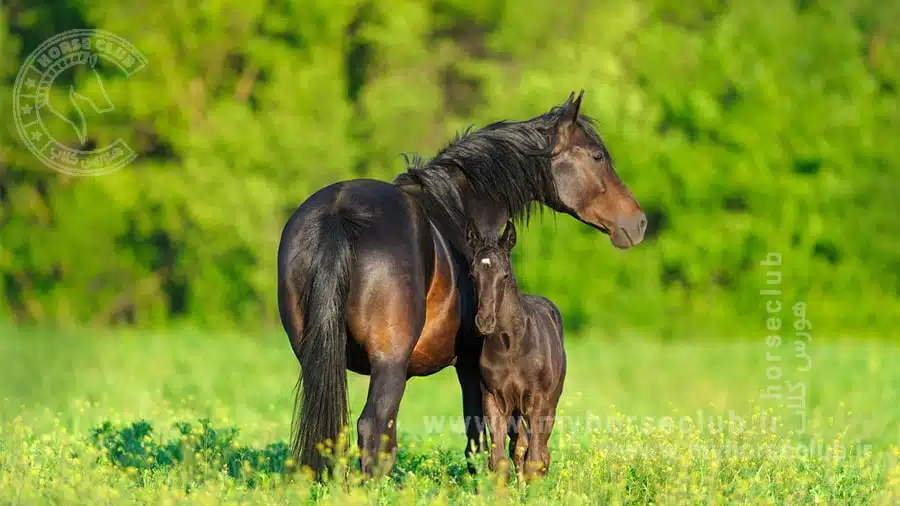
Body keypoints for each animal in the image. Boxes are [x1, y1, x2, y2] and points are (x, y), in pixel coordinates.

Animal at [468, 220, 568, 482]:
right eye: (473, 275)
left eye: (504, 275)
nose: (484, 321)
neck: (511, 346)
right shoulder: (494, 401)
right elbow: (499, 461)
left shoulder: (537, 402)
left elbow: (535, 460)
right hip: (515, 411)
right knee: (520, 445)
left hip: (550, 404)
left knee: (542, 451)